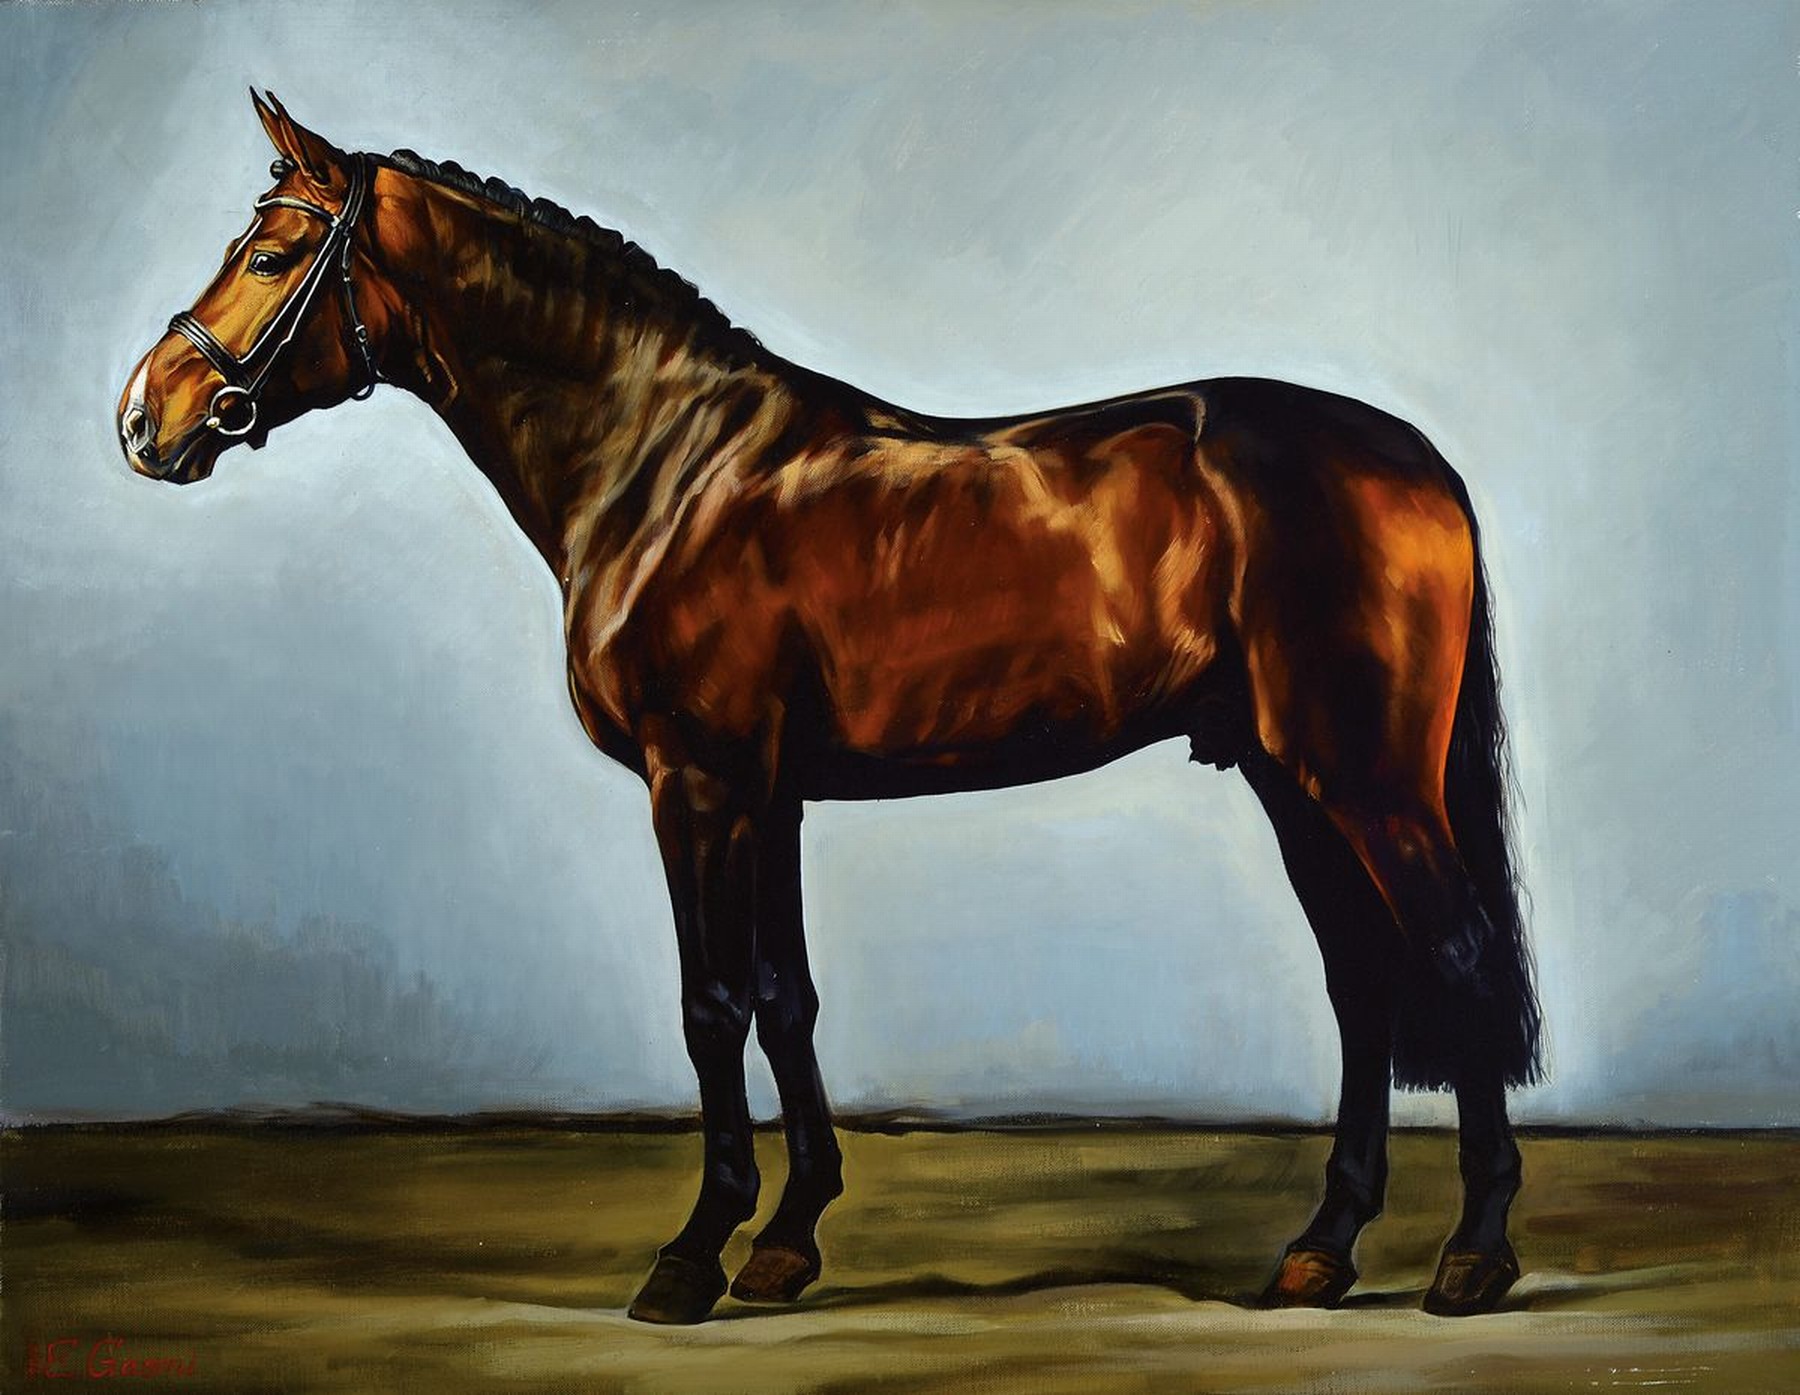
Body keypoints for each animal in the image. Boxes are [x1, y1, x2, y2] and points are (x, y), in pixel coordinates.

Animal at [118, 93, 1543, 1325]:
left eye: (274, 251)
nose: (145, 420)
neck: (668, 468)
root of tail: (1419, 460)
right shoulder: (774, 794)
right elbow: (784, 995)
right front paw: (788, 1241)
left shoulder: (695, 785)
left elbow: (710, 1005)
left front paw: (692, 1255)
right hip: (1291, 778)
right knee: (1365, 980)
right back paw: (1322, 1249)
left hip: (1368, 781)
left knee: (1459, 956)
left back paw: (1474, 1259)